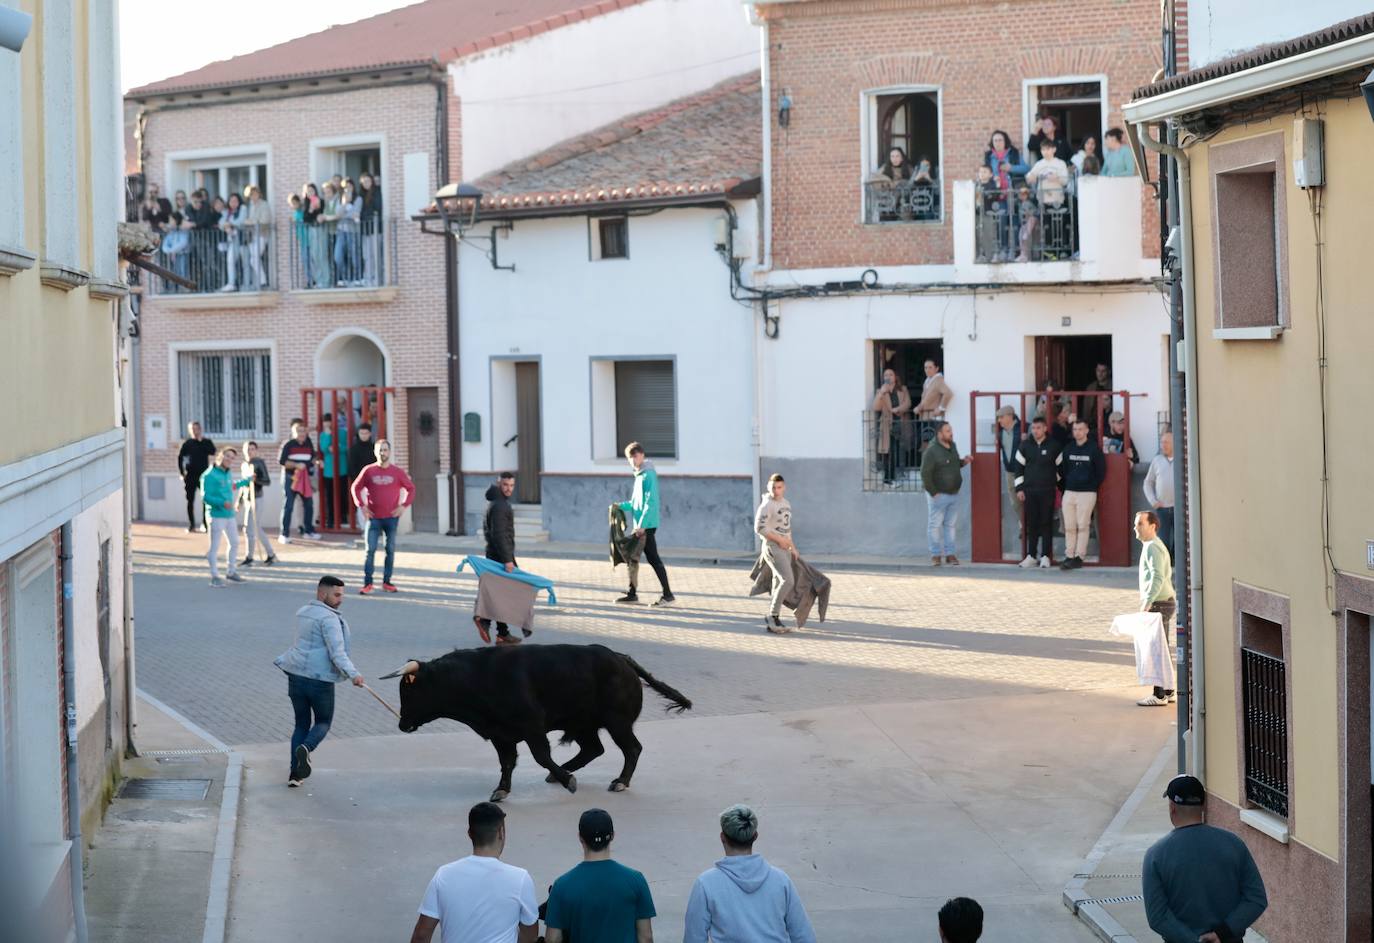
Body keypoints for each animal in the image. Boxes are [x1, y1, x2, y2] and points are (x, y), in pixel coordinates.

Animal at [381, 643, 692, 802]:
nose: (401, 725)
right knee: (593, 749)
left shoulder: (532, 726)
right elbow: (507, 762)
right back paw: (563, 773)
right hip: (584, 724)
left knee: (631, 749)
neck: (477, 677)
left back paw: (619, 782)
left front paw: (569, 782)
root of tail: (621, 658)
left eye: (408, 690)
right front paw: (501, 789)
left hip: (617, 722)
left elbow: (541, 756)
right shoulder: (501, 734)